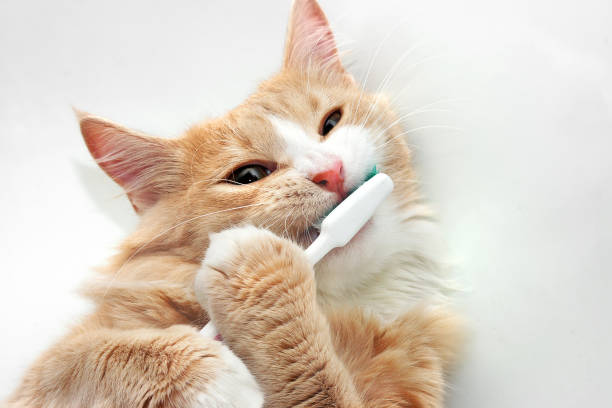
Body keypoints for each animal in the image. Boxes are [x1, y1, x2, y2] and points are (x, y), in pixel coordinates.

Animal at [5, 0, 464, 408]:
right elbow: (88, 359)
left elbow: (317, 382)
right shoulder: (47, 376)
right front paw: (206, 374)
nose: (330, 171)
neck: (339, 306)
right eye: (248, 176)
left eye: (331, 123)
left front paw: (257, 271)